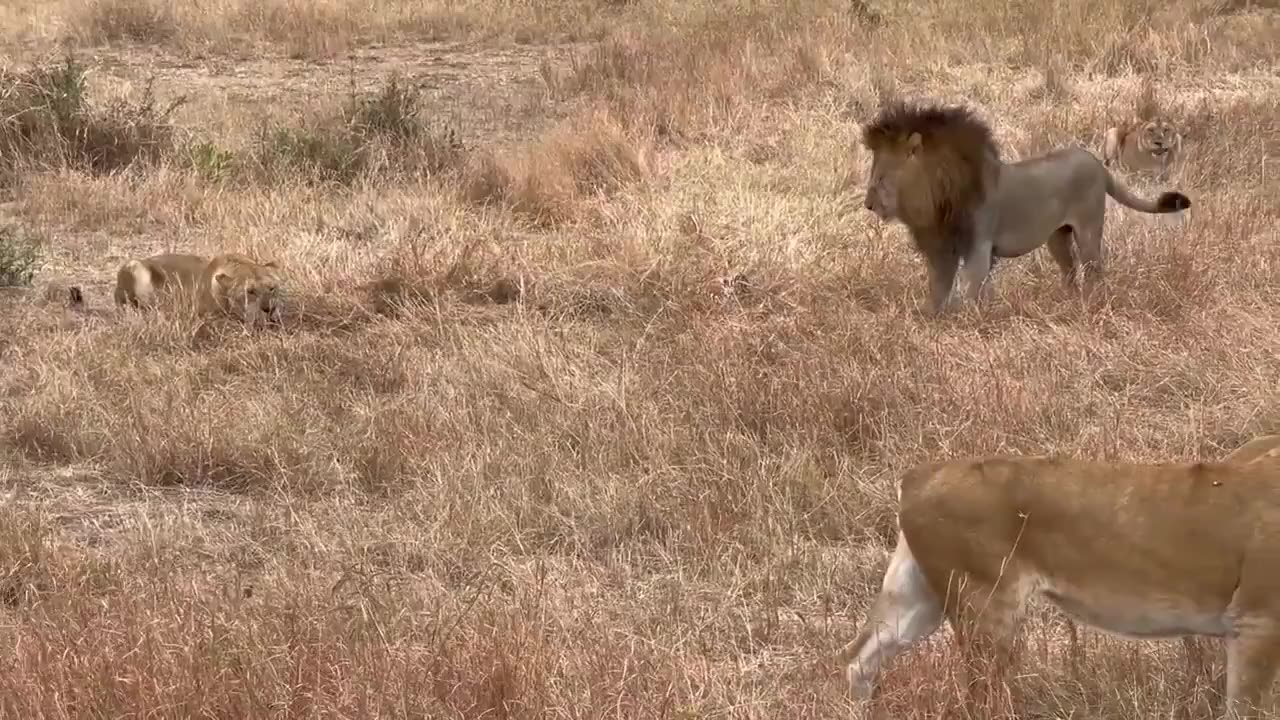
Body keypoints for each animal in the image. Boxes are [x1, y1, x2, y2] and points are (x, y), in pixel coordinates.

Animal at [834, 453, 1280, 717]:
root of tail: (918, 475)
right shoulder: (1258, 621)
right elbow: (1247, 708)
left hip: (917, 599)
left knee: (858, 657)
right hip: (986, 601)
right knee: (980, 698)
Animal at [860, 101, 1187, 313]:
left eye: (881, 177)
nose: (868, 204)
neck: (936, 196)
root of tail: (1097, 163)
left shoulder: (979, 245)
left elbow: (971, 287)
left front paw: (970, 320)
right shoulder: (942, 247)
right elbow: (938, 287)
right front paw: (931, 316)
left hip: (1089, 229)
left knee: (1094, 268)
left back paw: (1092, 302)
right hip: (1058, 237)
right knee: (1070, 270)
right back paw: (1067, 302)